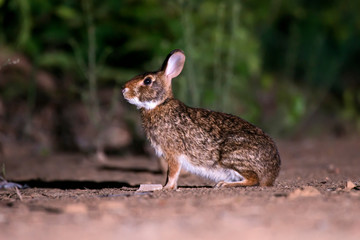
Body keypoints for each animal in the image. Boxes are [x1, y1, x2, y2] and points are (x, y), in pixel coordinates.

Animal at [122, 49, 280, 190]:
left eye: (147, 80)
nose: (124, 89)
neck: (160, 104)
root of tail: (272, 172)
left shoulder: (173, 153)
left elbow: (172, 172)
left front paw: (166, 188)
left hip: (232, 157)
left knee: (254, 179)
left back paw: (224, 184)